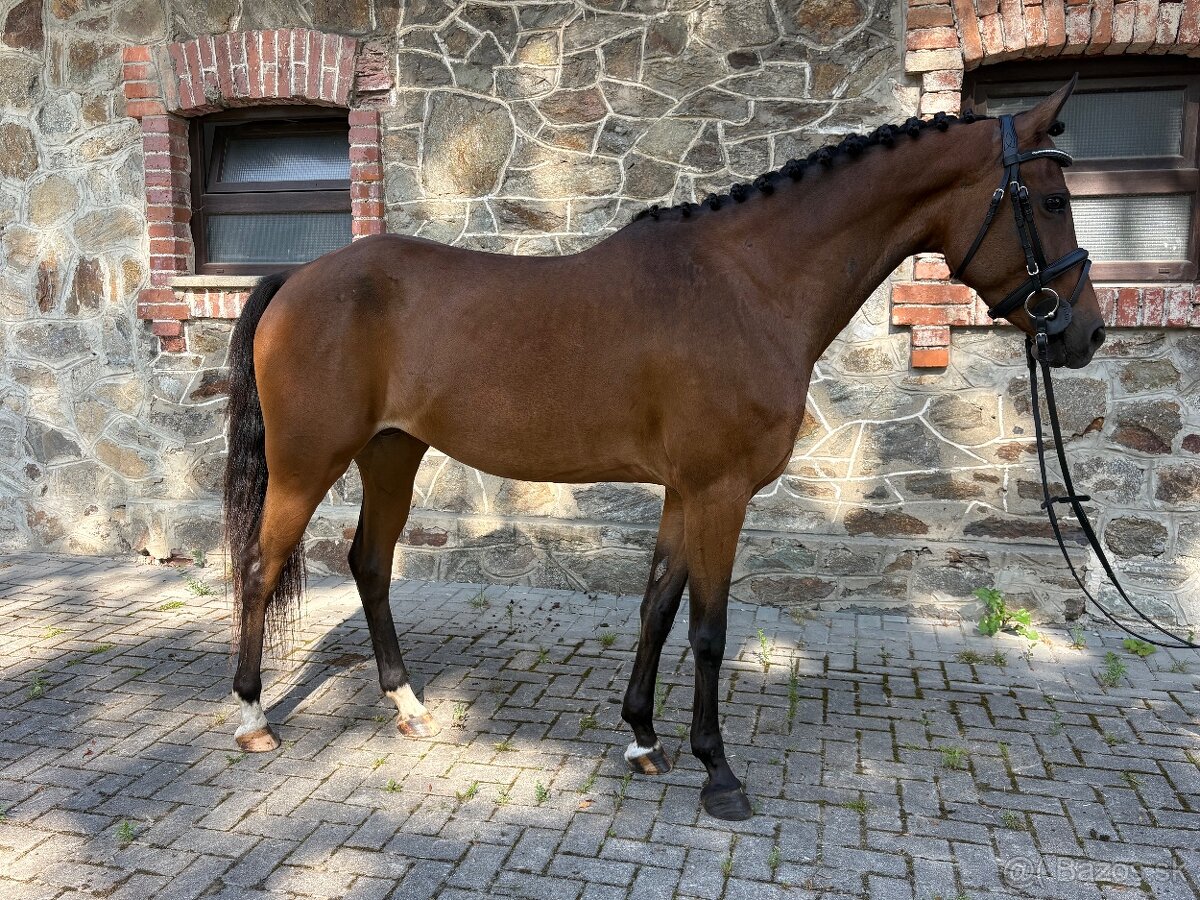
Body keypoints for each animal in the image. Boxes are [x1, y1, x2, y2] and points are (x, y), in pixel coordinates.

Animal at [222, 78, 1104, 821]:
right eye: (1053, 199)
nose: (1086, 334)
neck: (747, 285)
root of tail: (297, 277)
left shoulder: (688, 491)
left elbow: (656, 606)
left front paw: (643, 740)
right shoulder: (721, 491)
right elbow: (708, 629)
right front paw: (719, 772)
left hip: (392, 454)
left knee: (369, 563)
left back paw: (408, 707)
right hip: (307, 462)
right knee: (261, 566)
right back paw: (254, 717)